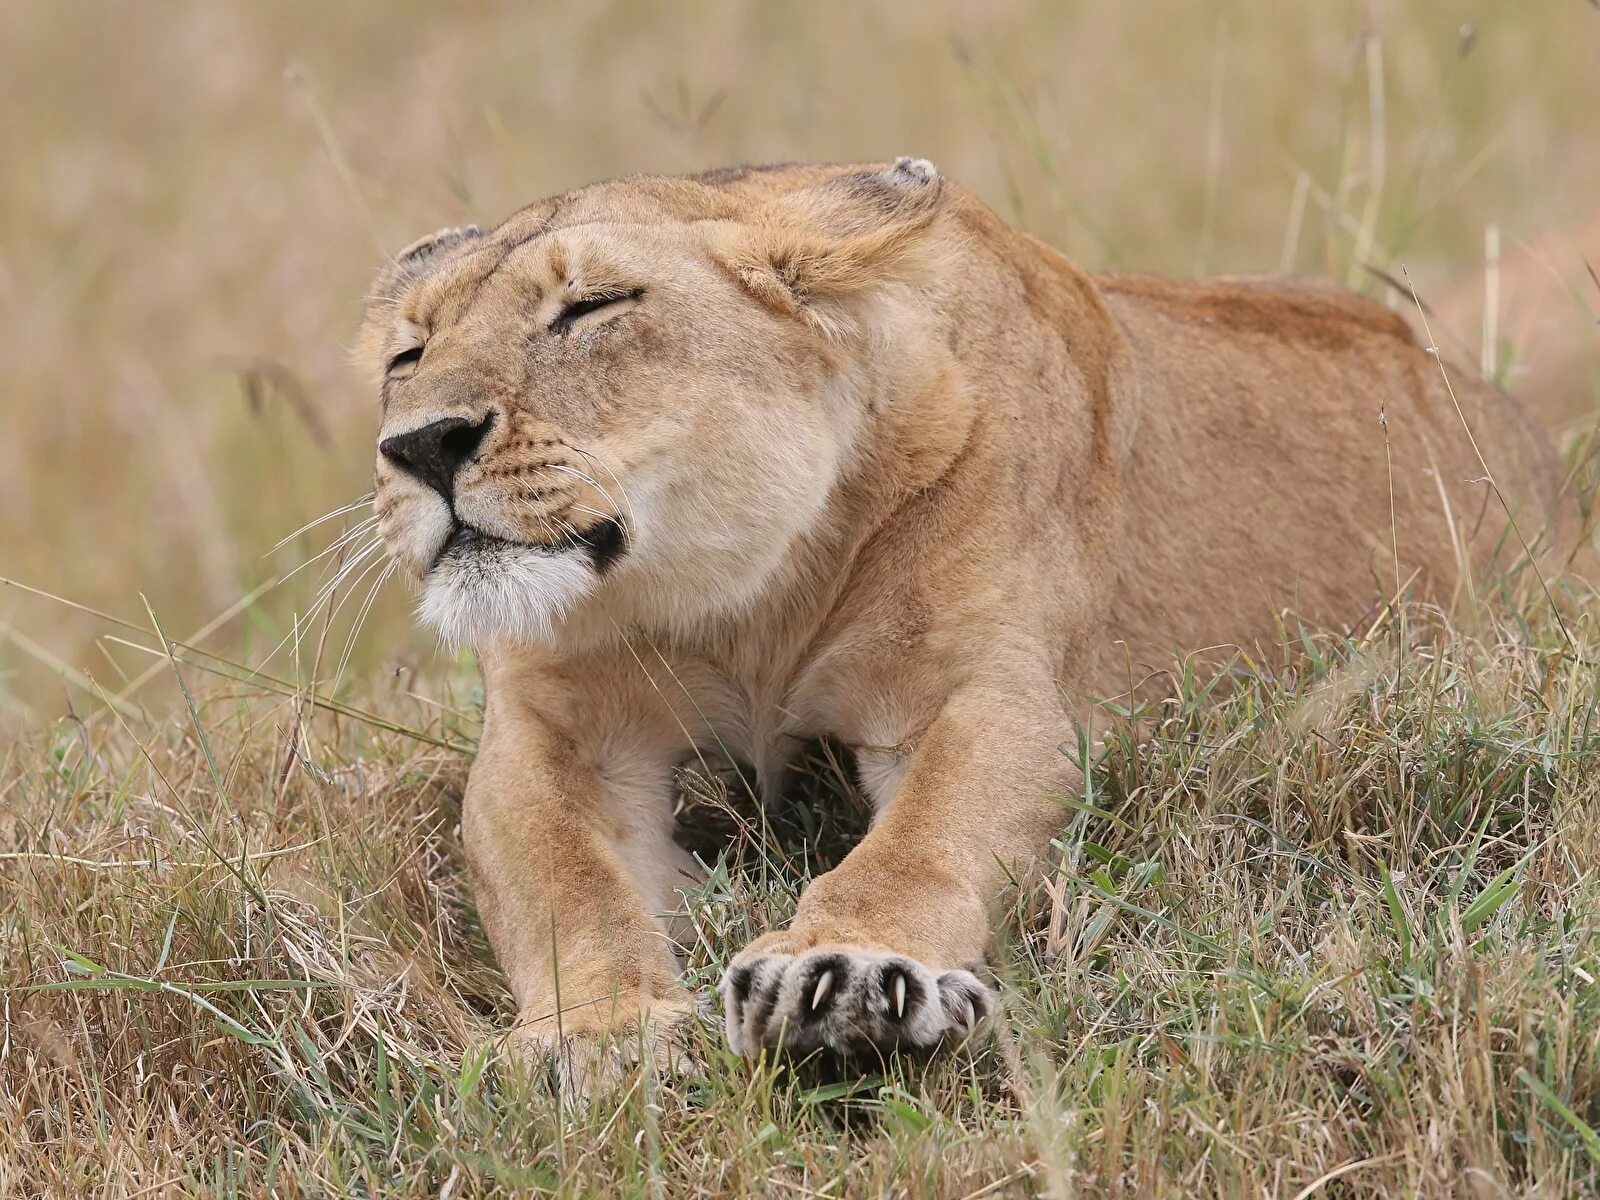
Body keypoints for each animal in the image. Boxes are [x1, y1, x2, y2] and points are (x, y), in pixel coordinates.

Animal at [356, 157, 1568, 1088]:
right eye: (406, 355)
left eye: (593, 308)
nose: (418, 446)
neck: (747, 607)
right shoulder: (551, 734)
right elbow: (568, 884)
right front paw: (599, 1035)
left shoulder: (986, 698)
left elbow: (921, 842)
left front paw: (841, 975)